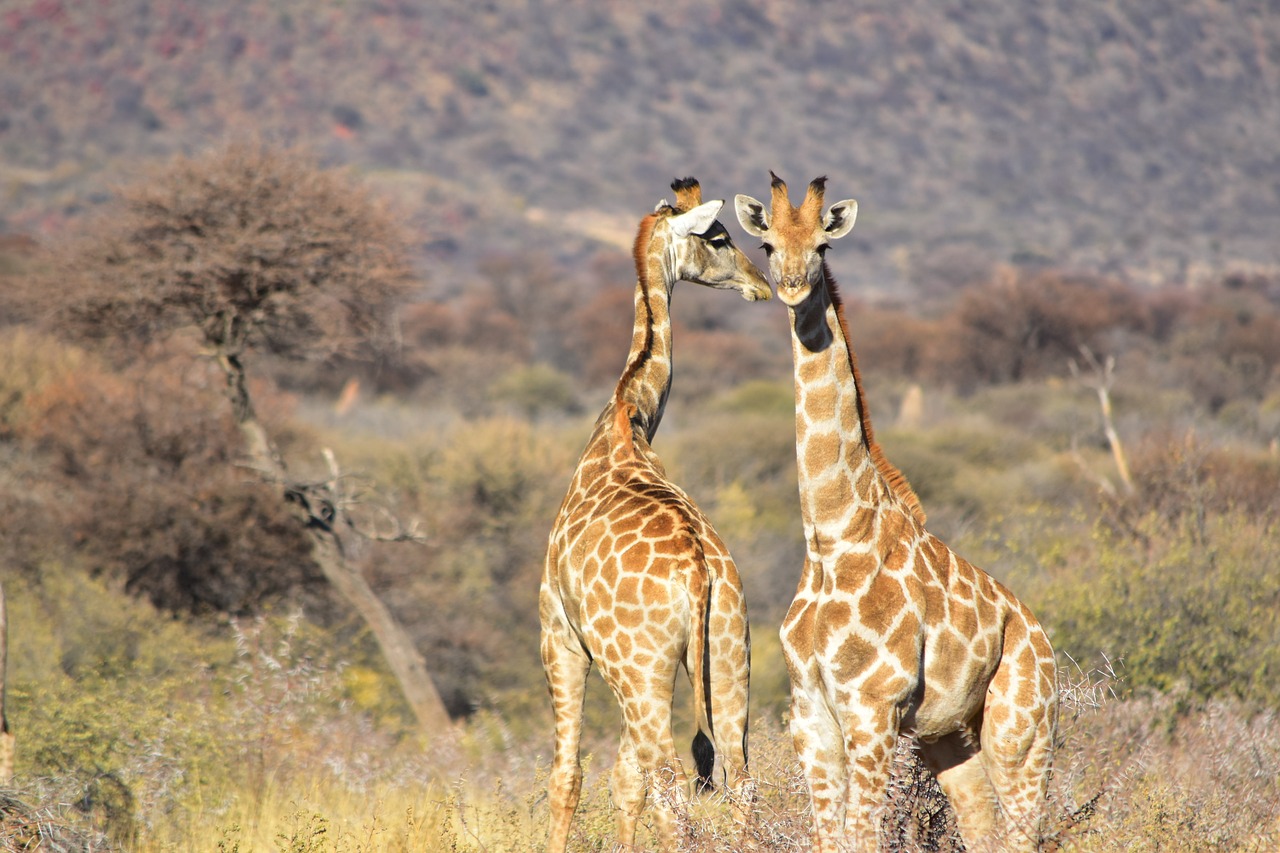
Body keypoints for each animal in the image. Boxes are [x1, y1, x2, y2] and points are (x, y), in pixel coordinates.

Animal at [540, 175, 768, 845]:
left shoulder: (559, 635)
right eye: (720, 238)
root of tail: (698, 576)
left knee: (671, 788)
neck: (627, 421)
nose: (761, 284)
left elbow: (570, 777)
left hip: (639, 671)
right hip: (729, 655)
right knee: (738, 780)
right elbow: (624, 782)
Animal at [737, 174, 1054, 850]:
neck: (832, 538)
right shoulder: (811, 715)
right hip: (948, 736)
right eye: (769, 244)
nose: (793, 287)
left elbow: (862, 837)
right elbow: (829, 839)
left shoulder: (873, 710)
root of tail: (1041, 638)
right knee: (982, 826)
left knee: (1022, 830)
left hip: (1021, 731)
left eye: (824, 246)